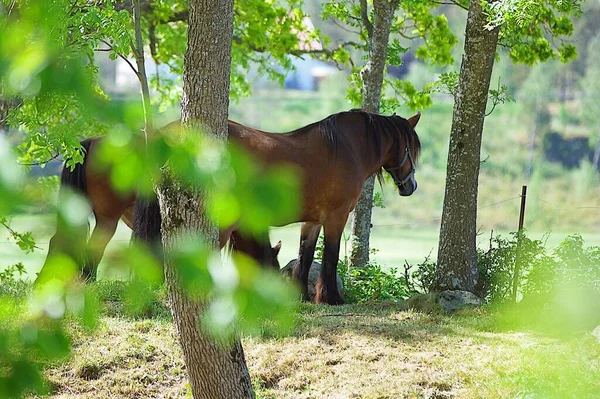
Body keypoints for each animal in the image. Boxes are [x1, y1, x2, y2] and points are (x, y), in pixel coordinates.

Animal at [134, 111, 420, 304]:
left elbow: (305, 257)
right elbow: (330, 257)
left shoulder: (313, 220)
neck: (346, 148)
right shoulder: (335, 218)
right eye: (411, 148)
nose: (411, 186)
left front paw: (302, 297)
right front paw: (332, 298)